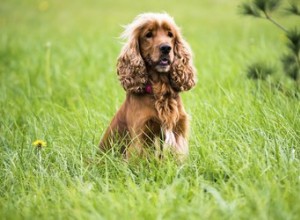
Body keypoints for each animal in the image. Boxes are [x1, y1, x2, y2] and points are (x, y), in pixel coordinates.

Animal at [99, 12, 197, 160]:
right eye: (148, 35)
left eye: (170, 34)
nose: (166, 48)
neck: (161, 90)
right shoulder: (142, 136)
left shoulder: (178, 131)